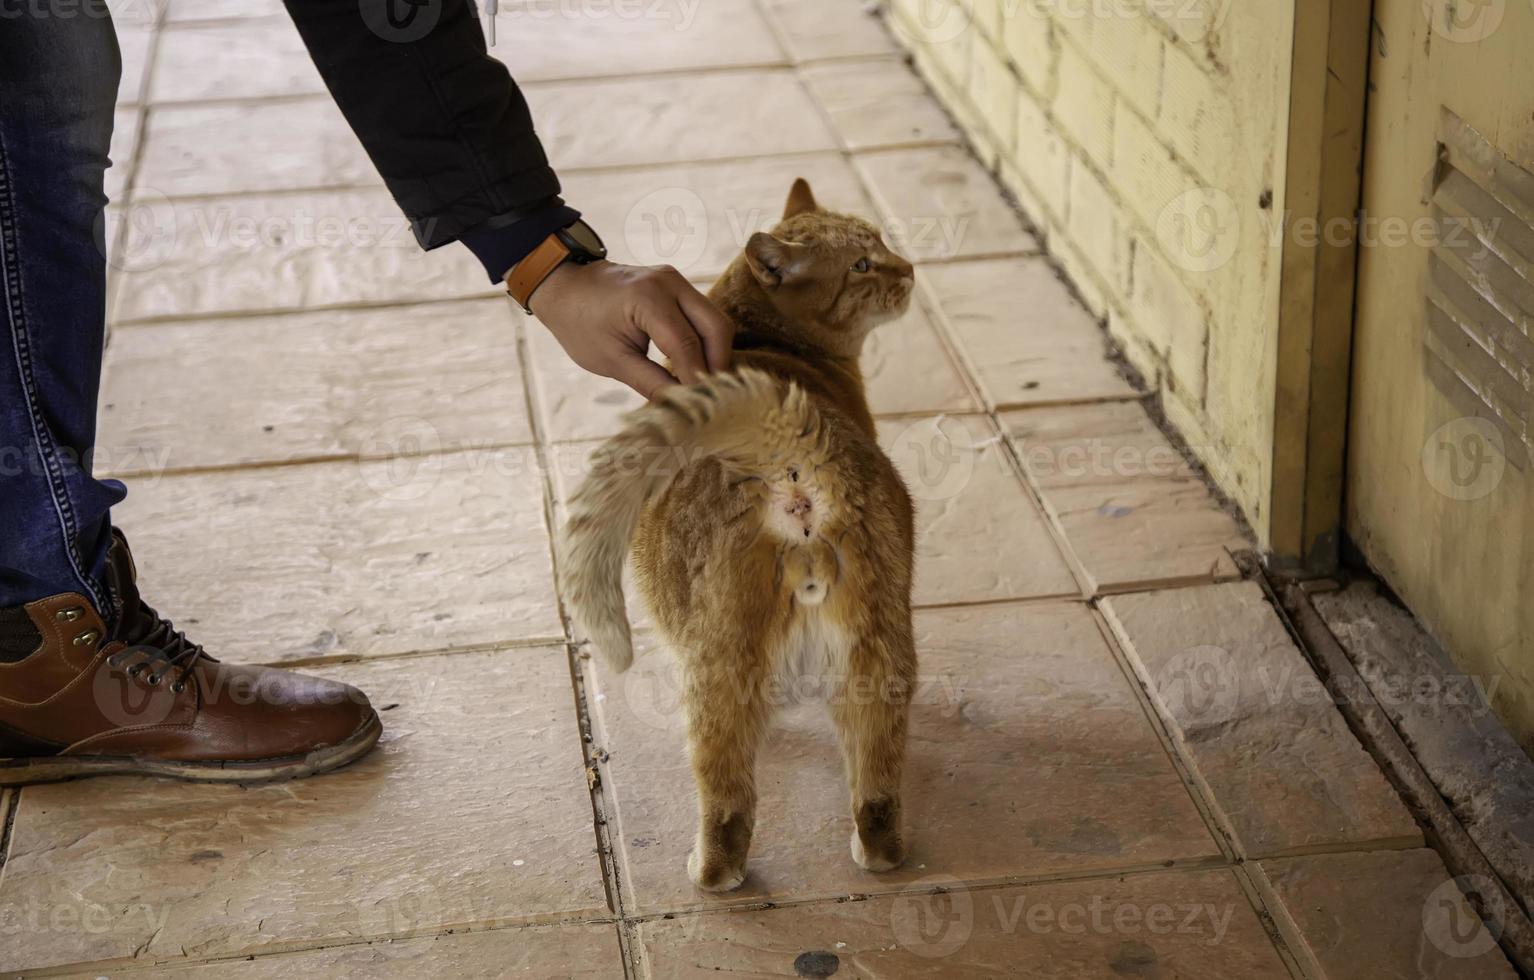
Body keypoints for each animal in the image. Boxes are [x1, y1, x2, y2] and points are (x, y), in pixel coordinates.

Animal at [564, 180, 920, 895]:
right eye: (863, 263)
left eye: (880, 251)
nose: (909, 269)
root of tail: (793, 462)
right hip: (878, 658)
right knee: (876, 790)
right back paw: (879, 851)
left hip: (716, 671)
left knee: (727, 799)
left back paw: (710, 873)